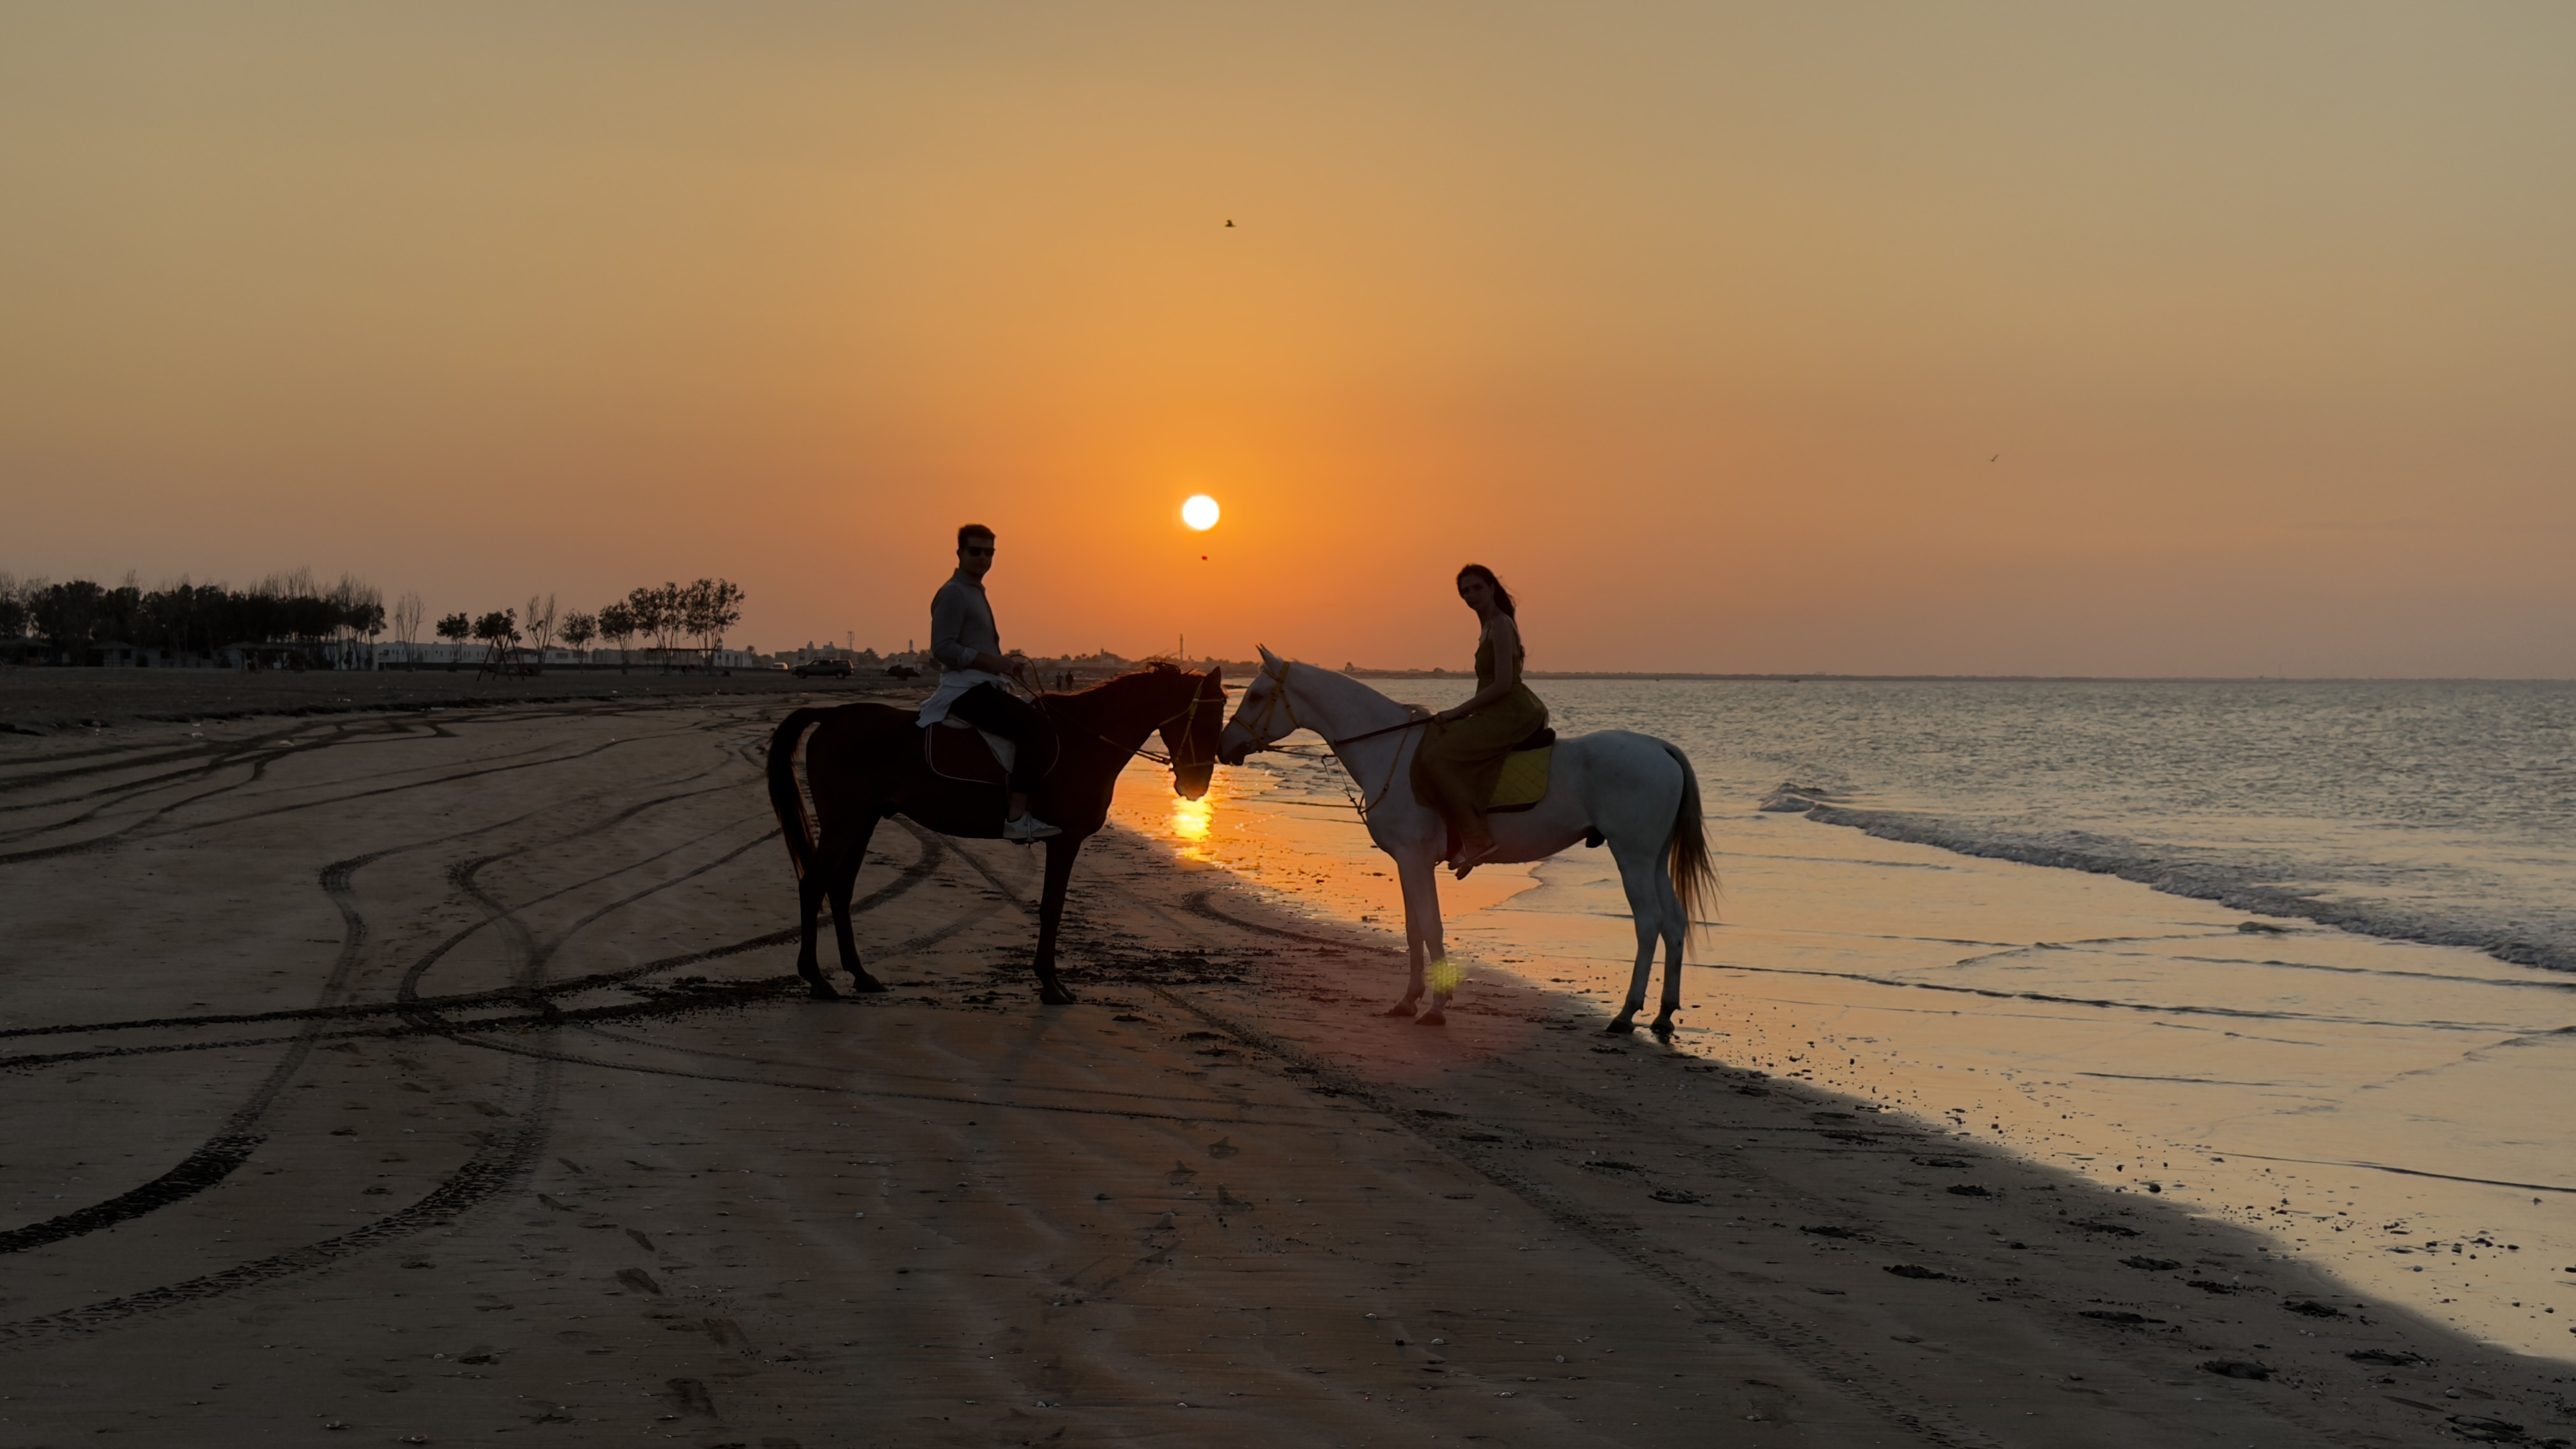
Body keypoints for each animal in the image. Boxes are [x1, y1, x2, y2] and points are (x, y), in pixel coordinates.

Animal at [765, 663, 1224, 1004]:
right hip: (844, 821)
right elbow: (1052, 908)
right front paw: (1050, 985)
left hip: (863, 820)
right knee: (814, 885)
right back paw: (816, 979)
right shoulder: (1065, 840)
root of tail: (832, 715)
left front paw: (1051, 981)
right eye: (1205, 719)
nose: (1197, 786)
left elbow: (1052, 908)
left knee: (839, 889)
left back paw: (860, 975)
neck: (1085, 741)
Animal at [1217, 648, 1717, 1034]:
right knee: (1674, 923)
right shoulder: (1408, 862)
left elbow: (1431, 927)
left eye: (1256, 695)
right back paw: (1664, 1016)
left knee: (1649, 923)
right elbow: (1414, 928)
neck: (1389, 752)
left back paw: (1626, 1014)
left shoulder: (1415, 859)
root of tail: (1660, 748)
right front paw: (1408, 1000)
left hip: (1632, 856)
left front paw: (1436, 1008)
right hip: (1653, 858)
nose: (1226, 746)